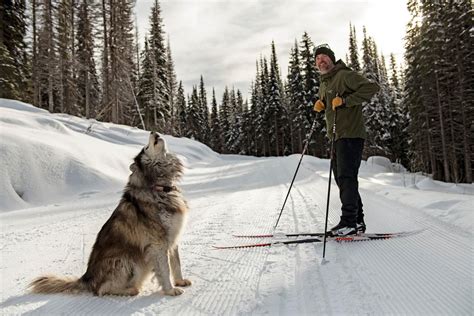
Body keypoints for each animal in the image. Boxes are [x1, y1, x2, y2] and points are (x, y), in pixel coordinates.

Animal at [29, 131, 191, 296]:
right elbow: (165, 269)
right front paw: (170, 290)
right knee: (102, 289)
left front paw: (180, 281)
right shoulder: (158, 243)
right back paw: (131, 290)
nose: (153, 132)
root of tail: (86, 278)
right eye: (146, 147)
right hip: (129, 261)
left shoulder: (173, 237)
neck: (161, 188)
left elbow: (176, 263)